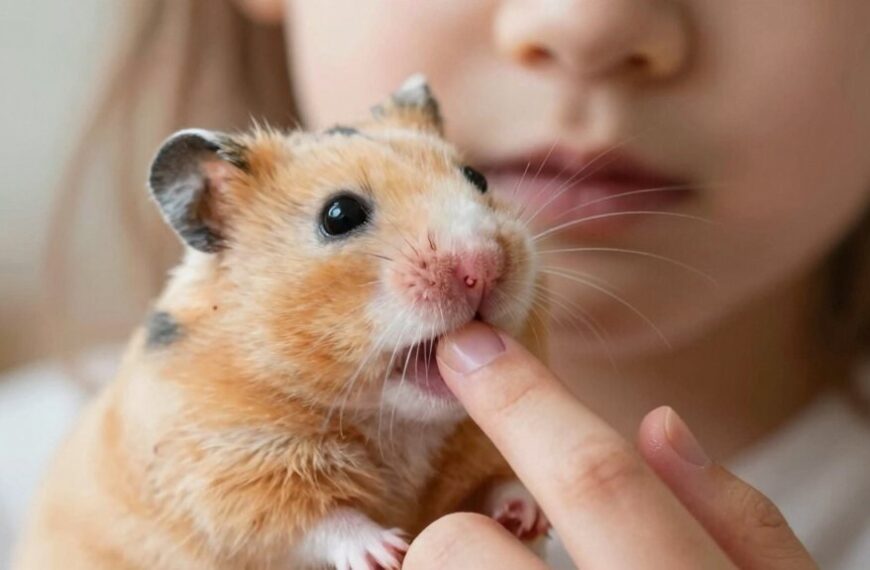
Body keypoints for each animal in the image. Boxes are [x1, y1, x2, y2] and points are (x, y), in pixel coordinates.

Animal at [14, 76, 548, 570]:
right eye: (340, 214)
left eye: (477, 178)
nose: (483, 266)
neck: (396, 427)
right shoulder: (228, 467)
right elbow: (316, 519)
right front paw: (387, 550)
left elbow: (491, 486)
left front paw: (526, 516)